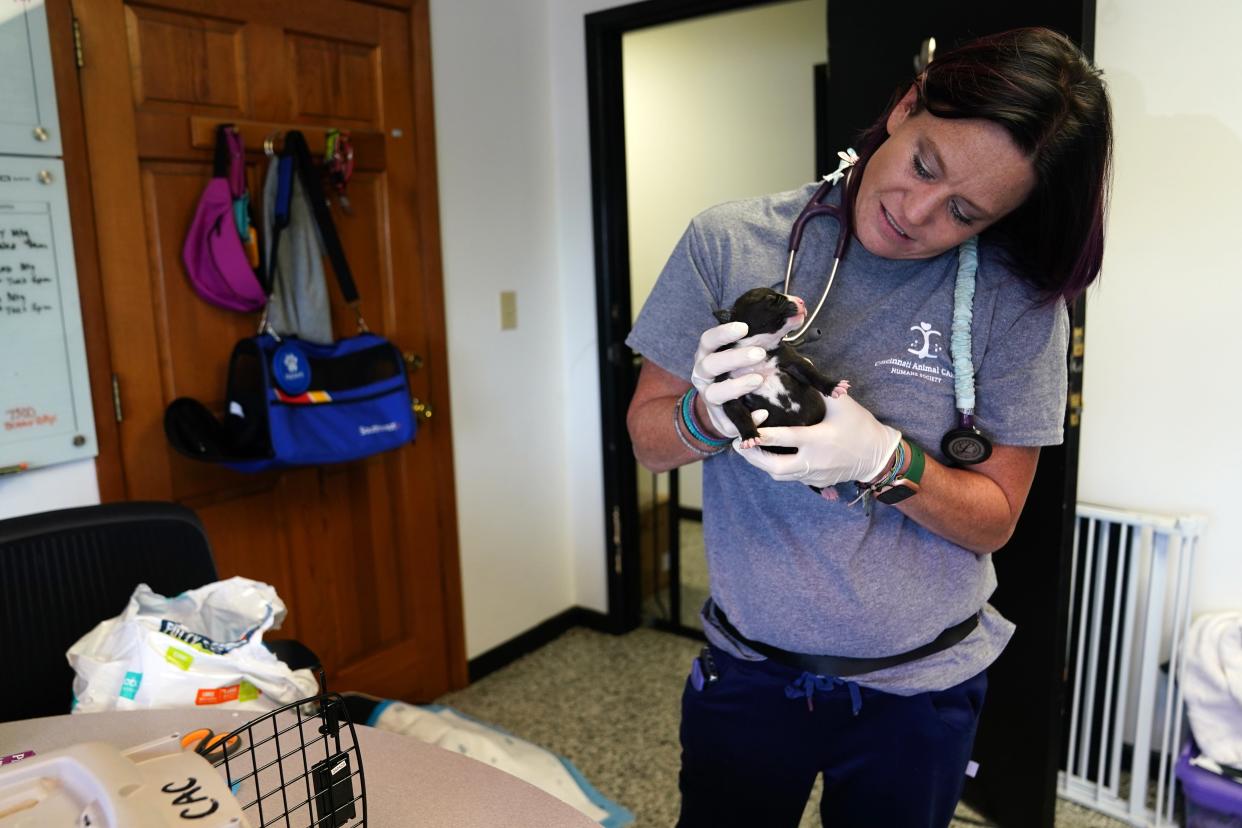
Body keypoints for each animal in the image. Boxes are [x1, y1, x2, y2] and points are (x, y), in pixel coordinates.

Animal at [715, 285, 849, 454]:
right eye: (771, 299)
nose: (801, 301)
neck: (761, 348)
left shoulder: (793, 362)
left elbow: (813, 374)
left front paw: (833, 386)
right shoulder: (730, 389)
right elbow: (739, 414)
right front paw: (750, 436)